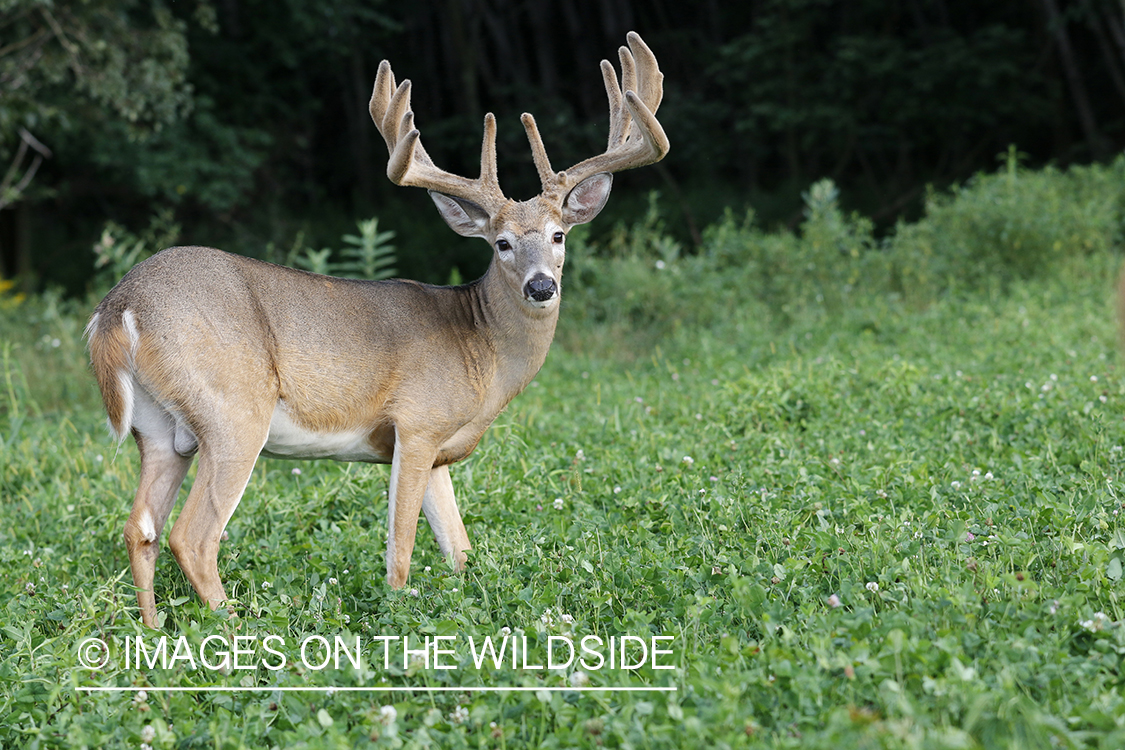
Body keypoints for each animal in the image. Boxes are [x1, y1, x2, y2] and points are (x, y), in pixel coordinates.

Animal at [87, 30, 666, 629]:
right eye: (501, 243)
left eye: (558, 235)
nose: (541, 286)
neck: (480, 351)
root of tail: (118, 308)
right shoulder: (416, 423)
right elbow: (402, 550)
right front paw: (398, 614)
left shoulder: (438, 449)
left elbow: (459, 549)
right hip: (233, 409)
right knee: (193, 535)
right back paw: (236, 627)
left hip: (159, 429)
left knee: (140, 529)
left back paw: (155, 631)